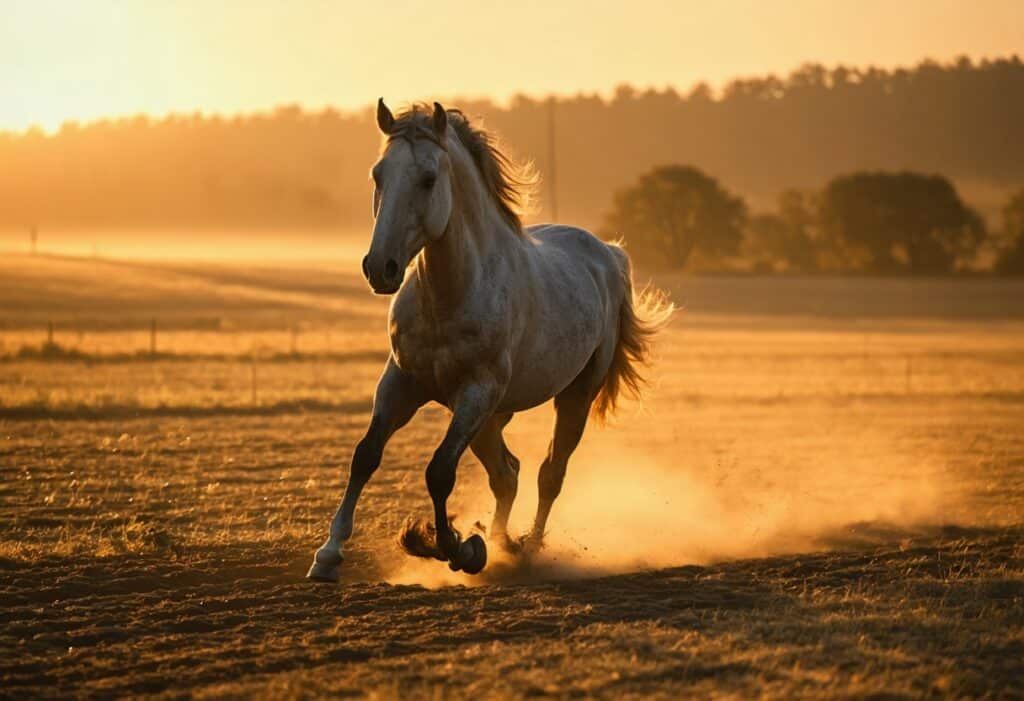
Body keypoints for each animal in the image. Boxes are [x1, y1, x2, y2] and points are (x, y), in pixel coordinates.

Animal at [307, 100, 672, 582]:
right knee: (507, 473)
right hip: (492, 417)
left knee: (548, 473)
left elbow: (439, 471)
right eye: (377, 175)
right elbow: (365, 455)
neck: (451, 294)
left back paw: (528, 550)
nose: (380, 268)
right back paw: (502, 542)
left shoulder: (477, 390)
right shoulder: (400, 382)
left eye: (428, 178)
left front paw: (459, 549)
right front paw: (328, 555)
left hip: (572, 396)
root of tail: (608, 254)